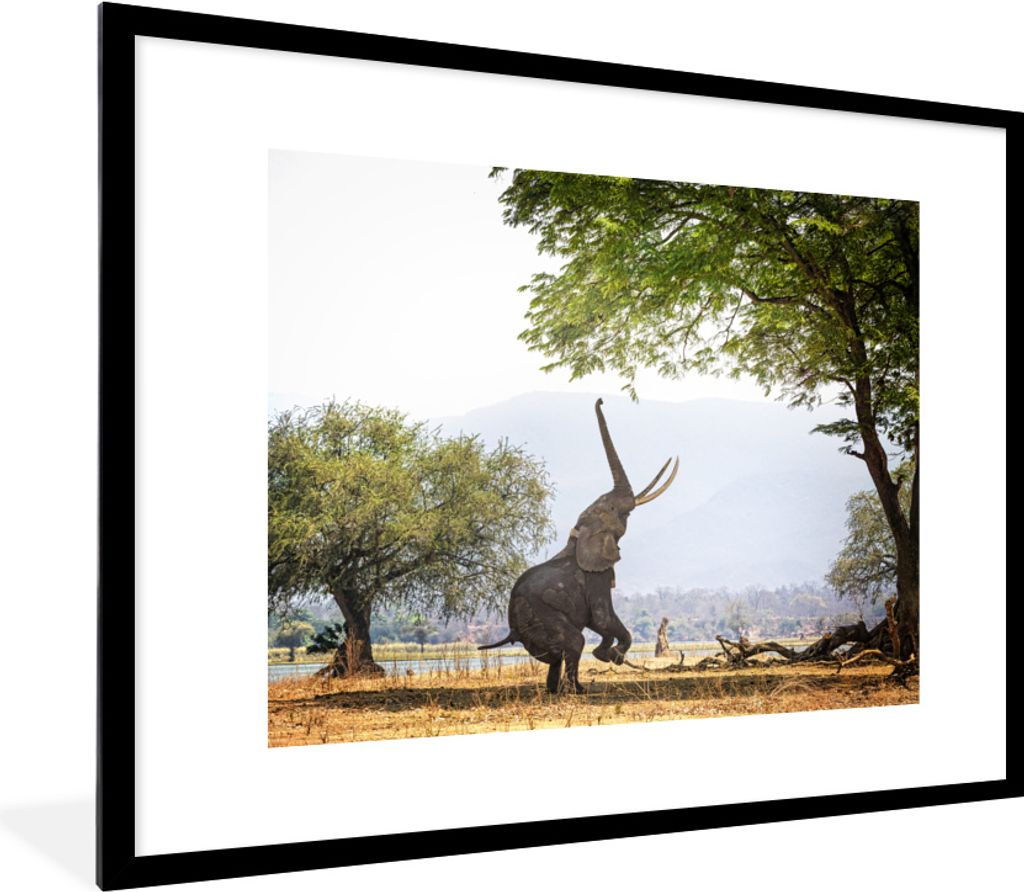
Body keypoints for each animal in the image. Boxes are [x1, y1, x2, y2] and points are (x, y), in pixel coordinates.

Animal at [480, 398, 679, 693]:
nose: (600, 400)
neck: (579, 535)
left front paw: (607, 653)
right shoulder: (596, 577)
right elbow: (602, 617)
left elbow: (600, 621)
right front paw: (610, 655)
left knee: (557, 656)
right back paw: (577, 690)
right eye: (616, 511)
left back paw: (557, 690)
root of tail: (513, 630)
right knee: (574, 642)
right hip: (541, 618)